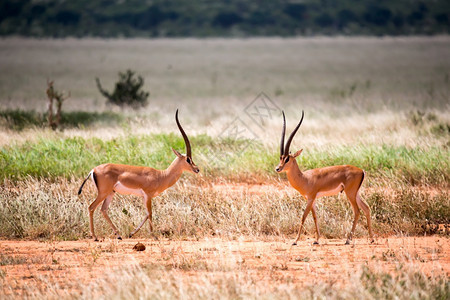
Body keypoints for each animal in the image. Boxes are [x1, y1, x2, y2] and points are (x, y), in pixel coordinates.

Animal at [78, 109, 200, 240]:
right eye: (188, 159)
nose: (197, 169)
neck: (161, 176)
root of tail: (93, 170)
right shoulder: (148, 195)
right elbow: (150, 213)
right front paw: (153, 236)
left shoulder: (144, 197)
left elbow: (146, 214)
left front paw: (132, 233)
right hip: (103, 193)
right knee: (91, 207)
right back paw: (95, 237)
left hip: (110, 193)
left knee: (103, 210)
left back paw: (119, 235)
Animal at [276, 111, 374, 245]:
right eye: (281, 157)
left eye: (287, 159)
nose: (277, 168)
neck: (305, 178)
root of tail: (361, 171)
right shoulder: (312, 200)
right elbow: (315, 217)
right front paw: (316, 240)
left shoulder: (310, 199)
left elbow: (303, 217)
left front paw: (295, 241)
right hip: (356, 194)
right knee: (366, 208)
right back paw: (372, 239)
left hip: (350, 193)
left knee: (357, 211)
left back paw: (348, 240)